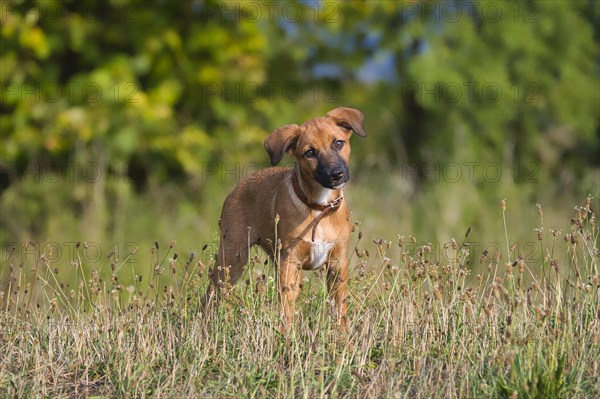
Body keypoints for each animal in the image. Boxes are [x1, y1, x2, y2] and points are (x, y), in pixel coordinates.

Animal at [206, 106, 366, 332]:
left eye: (338, 143)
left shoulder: (337, 265)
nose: (336, 175)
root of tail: (237, 186)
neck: (319, 208)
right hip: (232, 258)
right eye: (310, 153)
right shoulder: (290, 263)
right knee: (211, 294)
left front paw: (343, 338)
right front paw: (287, 337)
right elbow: (287, 310)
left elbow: (339, 310)